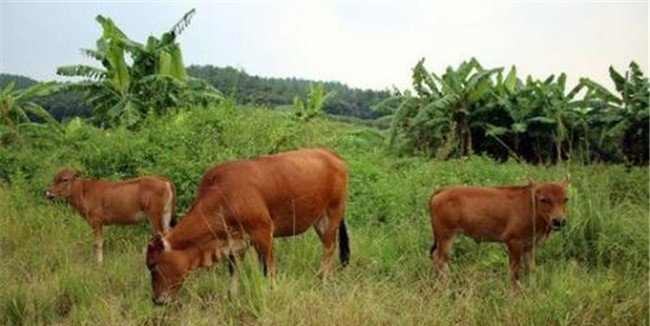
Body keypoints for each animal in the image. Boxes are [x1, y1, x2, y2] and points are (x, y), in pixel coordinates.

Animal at [45, 168, 175, 262]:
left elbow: (97, 243)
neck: (83, 191)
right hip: (165, 215)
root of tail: (164, 181)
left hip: (155, 216)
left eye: (65, 179)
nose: (48, 192)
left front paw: (98, 263)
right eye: (54, 178)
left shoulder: (96, 221)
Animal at [144, 149, 346, 304]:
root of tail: (331, 154)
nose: (155, 300)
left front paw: (272, 294)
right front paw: (231, 299)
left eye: (153, 265)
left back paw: (322, 280)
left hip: (332, 214)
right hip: (319, 220)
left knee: (330, 247)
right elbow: (234, 272)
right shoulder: (236, 242)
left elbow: (269, 270)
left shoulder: (264, 233)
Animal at [430, 177, 568, 286]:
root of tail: (441, 191)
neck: (531, 205)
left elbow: (531, 269)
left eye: (565, 199)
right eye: (543, 199)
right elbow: (514, 272)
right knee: (440, 259)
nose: (558, 221)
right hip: (446, 237)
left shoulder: (529, 246)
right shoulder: (514, 243)